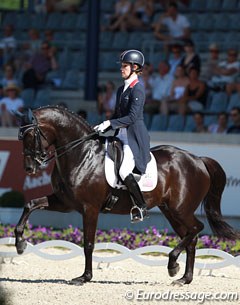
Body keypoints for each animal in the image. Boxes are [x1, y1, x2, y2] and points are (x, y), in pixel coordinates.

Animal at [15, 105, 238, 284]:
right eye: (20, 137)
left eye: (31, 136)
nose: (29, 168)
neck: (82, 154)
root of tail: (198, 160)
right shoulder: (65, 203)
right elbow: (30, 204)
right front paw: (20, 244)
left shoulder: (90, 208)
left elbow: (88, 244)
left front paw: (85, 277)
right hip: (171, 212)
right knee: (190, 237)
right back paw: (184, 278)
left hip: (181, 209)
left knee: (196, 228)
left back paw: (173, 263)